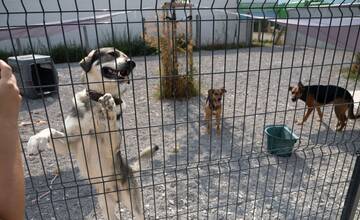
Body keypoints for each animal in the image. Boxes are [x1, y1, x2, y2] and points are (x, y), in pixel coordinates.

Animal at [26, 47, 158, 219]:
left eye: (127, 56)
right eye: (112, 54)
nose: (132, 63)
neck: (97, 101)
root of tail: (128, 168)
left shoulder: (111, 145)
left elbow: (110, 122)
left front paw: (109, 107)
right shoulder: (69, 143)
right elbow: (48, 129)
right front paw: (35, 142)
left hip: (134, 205)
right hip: (105, 205)